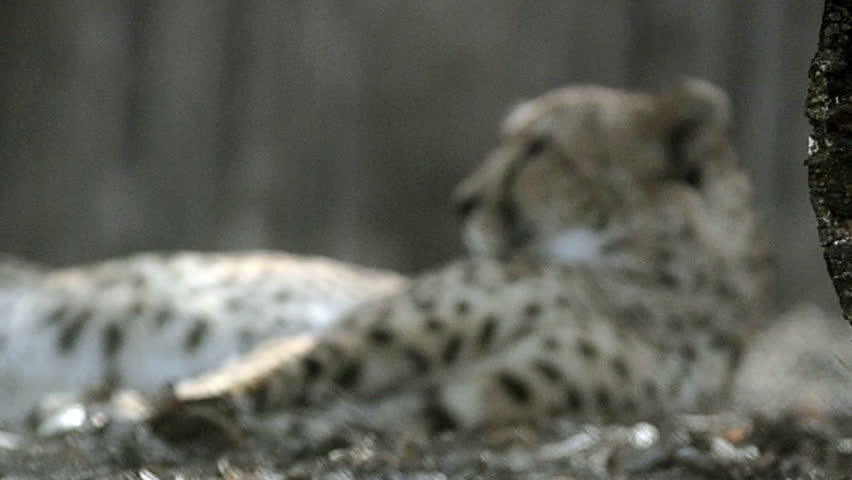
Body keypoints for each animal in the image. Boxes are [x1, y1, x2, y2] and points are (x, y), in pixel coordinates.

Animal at [165, 79, 771, 433]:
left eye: (539, 147)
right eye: (512, 139)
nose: (462, 201)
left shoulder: (475, 396)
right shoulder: (371, 335)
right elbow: (283, 364)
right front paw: (181, 403)